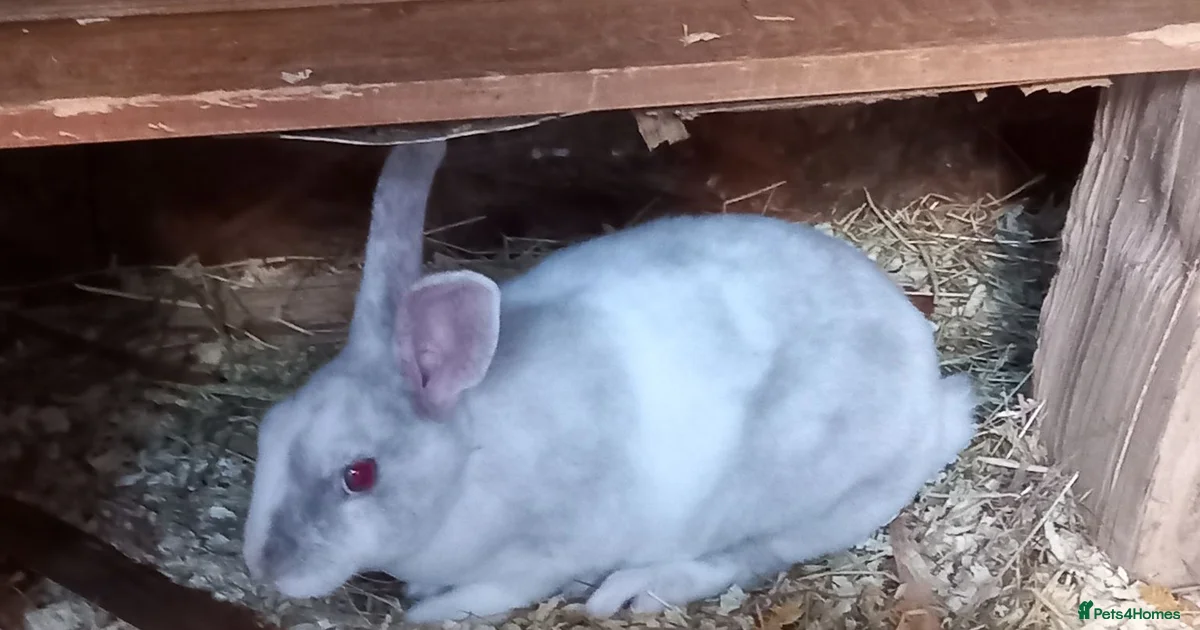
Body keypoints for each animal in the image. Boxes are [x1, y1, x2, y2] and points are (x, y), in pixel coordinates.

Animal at [240, 138, 977, 624]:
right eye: (269, 430)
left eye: (358, 474)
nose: (264, 567)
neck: (470, 455)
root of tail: (932, 403)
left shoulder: (542, 555)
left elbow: (495, 592)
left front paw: (428, 611)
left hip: (789, 494)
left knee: (743, 556)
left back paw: (634, 590)